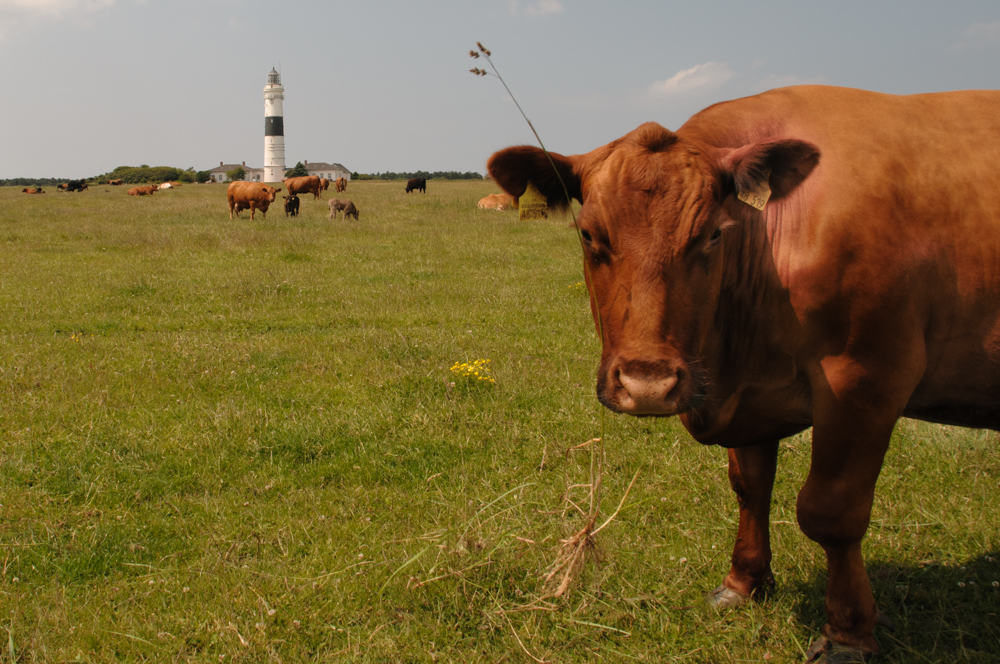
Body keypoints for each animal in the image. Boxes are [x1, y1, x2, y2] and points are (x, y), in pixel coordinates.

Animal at [488, 84, 1000, 664]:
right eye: (590, 234)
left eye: (713, 235)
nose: (647, 383)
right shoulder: (750, 398)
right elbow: (750, 486)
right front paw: (743, 583)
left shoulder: (867, 378)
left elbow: (832, 512)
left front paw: (848, 632)